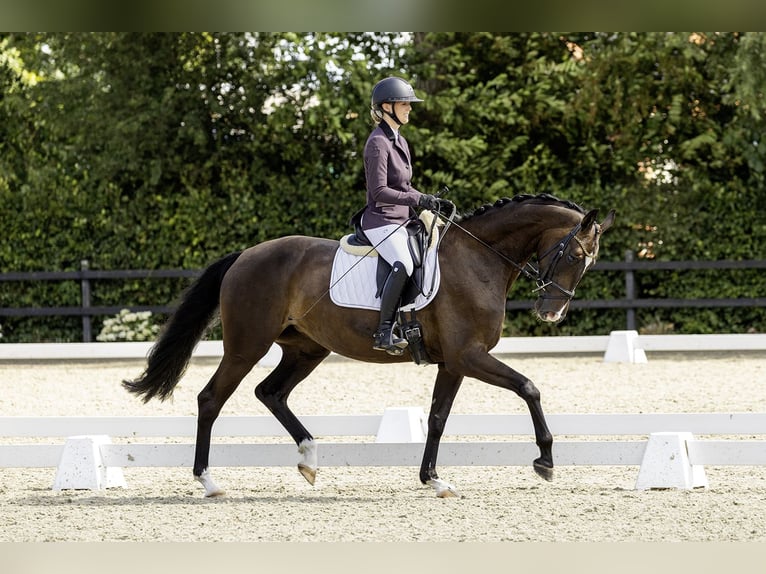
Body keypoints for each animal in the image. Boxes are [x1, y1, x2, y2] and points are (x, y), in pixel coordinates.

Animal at [124, 195, 616, 500]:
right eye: (575, 256)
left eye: (588, 262)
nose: (551, 313)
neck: (478, 260)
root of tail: (245, 255)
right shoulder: (469, 356)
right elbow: (529, 387)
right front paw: (545, 459)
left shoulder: (454, 362)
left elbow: (437, 418)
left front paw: (434, 481)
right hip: (247, 346)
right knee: (211, 399)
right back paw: (208, 482)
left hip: (306, 349)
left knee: (271, 392)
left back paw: (309, 459)